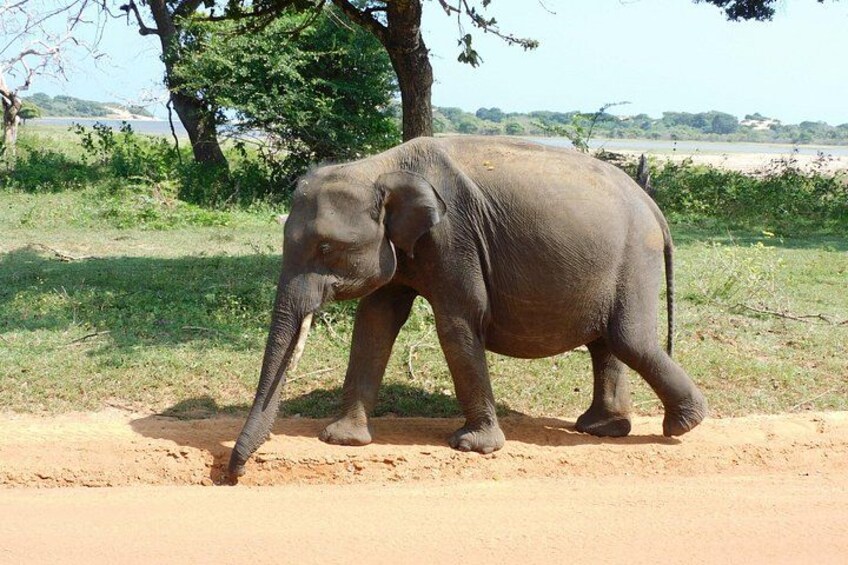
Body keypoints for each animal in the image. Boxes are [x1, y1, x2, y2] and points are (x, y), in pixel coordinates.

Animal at [227, 136, 707, 479]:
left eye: (326, 247)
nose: (234, 475)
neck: (380, 167)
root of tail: (653, 206)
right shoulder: (408, 247)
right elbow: (375, 320)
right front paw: (342, 440)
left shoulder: (454, 239)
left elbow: (457, 324)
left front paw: (473, 447)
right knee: (606, 343)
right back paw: (602, 428)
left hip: (635, 257)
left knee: (628, 339)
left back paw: (681, 426)